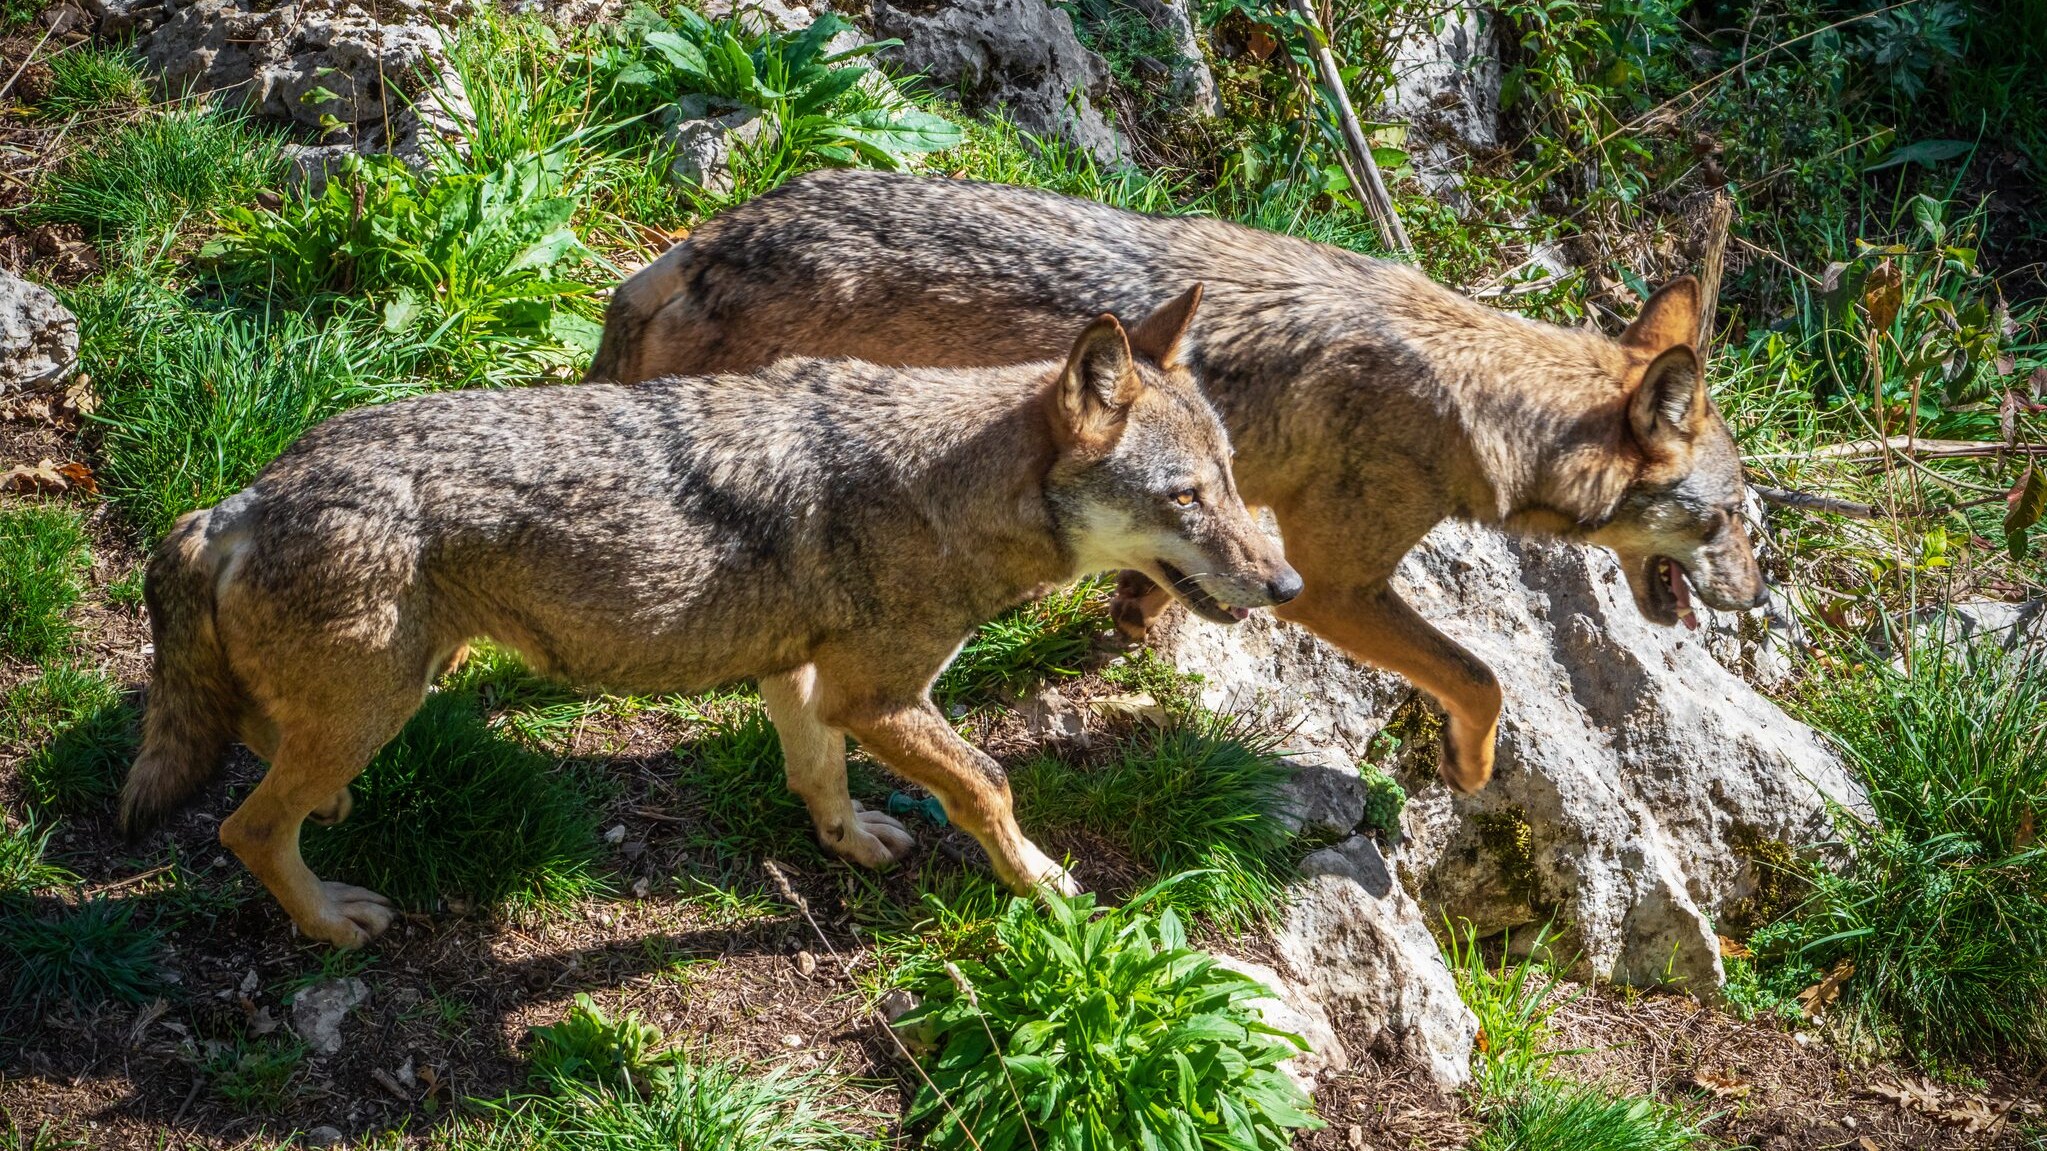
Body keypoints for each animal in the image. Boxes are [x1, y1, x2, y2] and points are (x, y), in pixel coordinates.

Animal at [122, 289, 1302, 949]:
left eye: (1231, 481)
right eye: (1185, 498)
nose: (1287, 586)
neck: (950, 486)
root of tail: (240, 500)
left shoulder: (805, 677)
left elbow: (818, 772)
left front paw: (848, 840)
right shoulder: (880, 695)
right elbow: (989, 784)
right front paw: (1045, 885)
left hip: (388, 689)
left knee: (258, 748)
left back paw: (330, 813)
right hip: (384, 698)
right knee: (244, 827)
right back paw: (330, 921)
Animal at [588, 169, 1766, 795]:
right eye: (1731, 521)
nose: (1756, 597)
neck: (1466, 393)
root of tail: (703, 241)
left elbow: (1167, 577)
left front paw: (1132, 616)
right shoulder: (1333, 584)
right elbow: (1481, 678)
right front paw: (1469, 774)